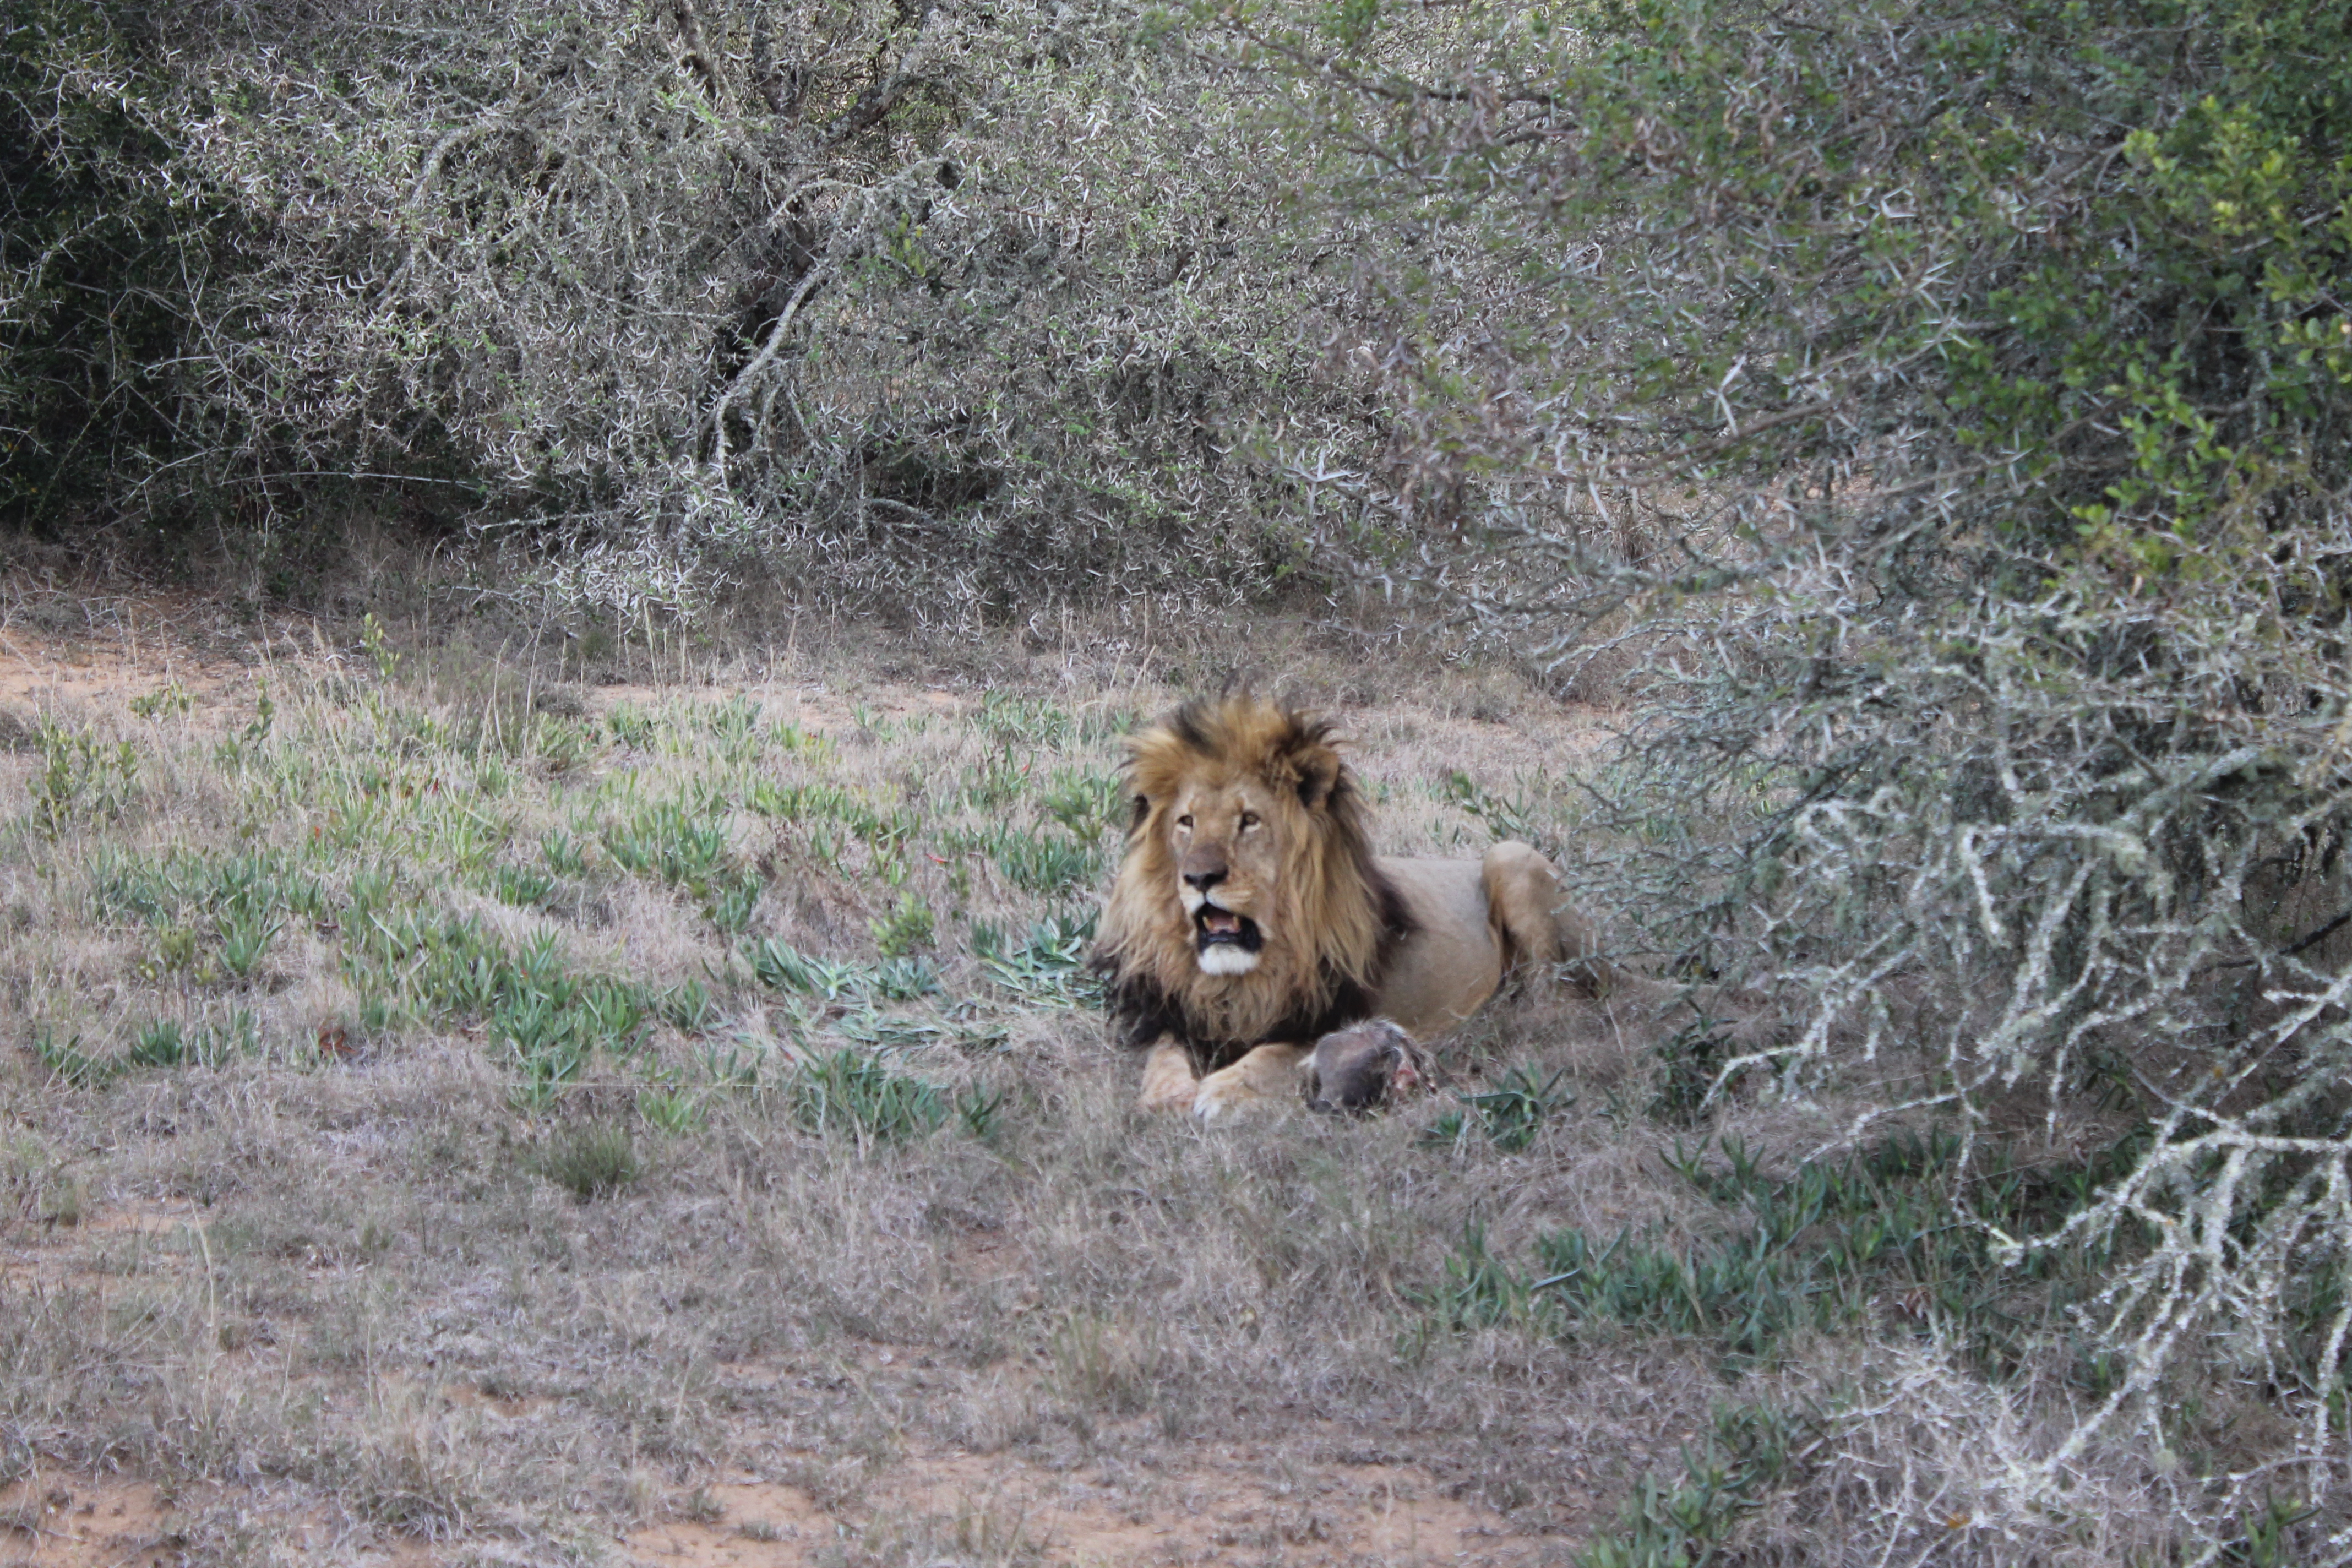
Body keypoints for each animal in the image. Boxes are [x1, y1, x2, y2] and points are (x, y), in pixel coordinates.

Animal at [1086, 691, 1618, 1123]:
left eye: (1249, 821)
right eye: (1187, 822)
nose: (1198, 878)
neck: (1244, 978)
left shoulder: (1339, 1012)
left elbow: (1278, 1053)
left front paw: (1225, 1089)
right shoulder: (1178, 1011)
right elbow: (1163, 1054)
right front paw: (1168, 1094)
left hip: (1510, 856)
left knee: (1556, 1000)